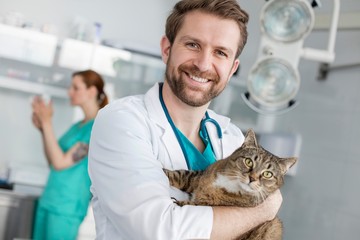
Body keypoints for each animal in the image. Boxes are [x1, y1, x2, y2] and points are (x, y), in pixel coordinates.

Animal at [164, 129, 298, 240]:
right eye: (249, 161)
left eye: (267, 174)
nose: (252, 178)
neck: (231, 181)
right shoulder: (200, 175)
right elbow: (181, 175)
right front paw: (164, 172)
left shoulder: (210, 204)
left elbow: (196, 205)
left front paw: (179, 202)